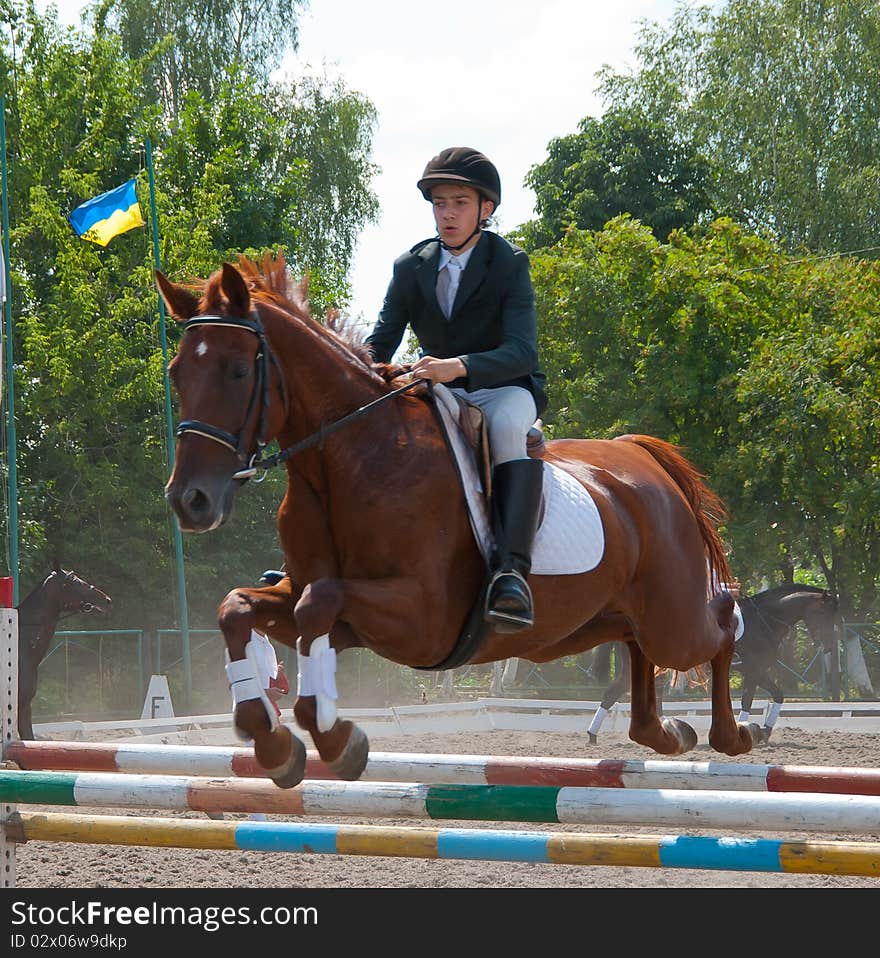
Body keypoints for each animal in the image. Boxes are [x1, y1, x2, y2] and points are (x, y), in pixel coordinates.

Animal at [155, 255, 752, 788]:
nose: (190, 501)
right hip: (599, 622)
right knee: (638, 652)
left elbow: (315, 606)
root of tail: (641, 457)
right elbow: (240, 609)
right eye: (176, 374)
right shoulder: (332, 606)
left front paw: (337, 739)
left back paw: (734, 734)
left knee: (721, 625)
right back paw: (669, 733)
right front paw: (275, 745)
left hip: (672, 618)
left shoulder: (424, 618)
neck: (347, 461)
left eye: (238, 371)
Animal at [584, 580, 840, 748]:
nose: (829, 647)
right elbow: (762, 697)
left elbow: (763, 698)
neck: (765, 619)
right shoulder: (754, 669)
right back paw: (592, 736)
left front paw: (759, 731)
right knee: (611, 694)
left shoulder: (755, 671)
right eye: (824, 615)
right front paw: (755, 732)